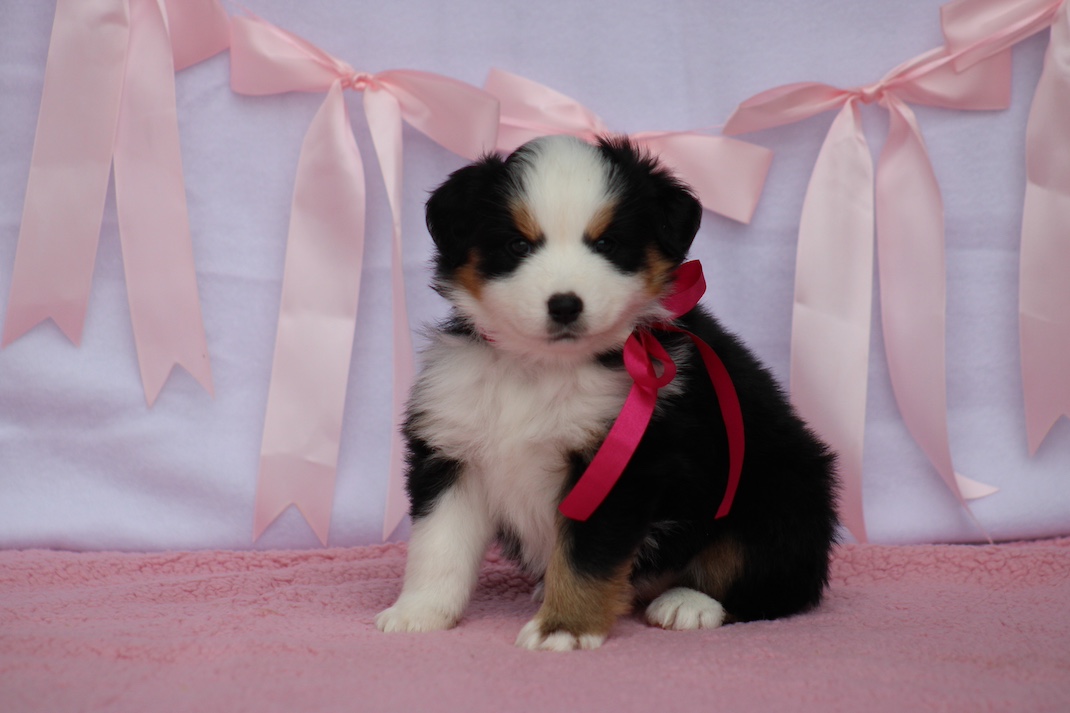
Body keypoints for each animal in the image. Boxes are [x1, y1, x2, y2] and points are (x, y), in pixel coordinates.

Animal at [375, 135, 838, 651]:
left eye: (606, 244)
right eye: (517, 244)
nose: (565, 305)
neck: (540, 369)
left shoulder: (622, 462)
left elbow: (586, 557)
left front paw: (564, 627)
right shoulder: (455, 448)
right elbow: (438, 545)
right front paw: (419, 612)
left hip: (780, 491)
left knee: (775, 582)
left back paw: (689, 603)